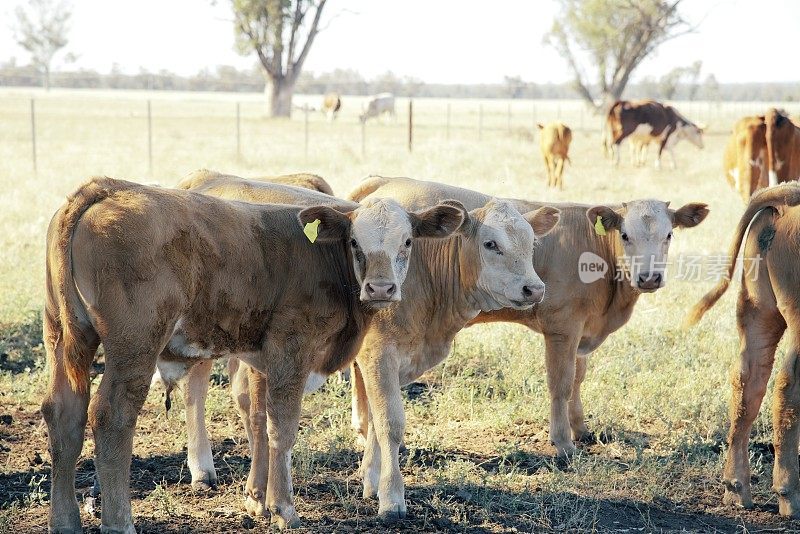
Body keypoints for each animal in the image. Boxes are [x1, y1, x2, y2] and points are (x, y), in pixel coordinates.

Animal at [42, 177, 468, 532]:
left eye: (407, 242)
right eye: (354, 243)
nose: (381, 289)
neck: (324, 259)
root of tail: (107, 189)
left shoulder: (263, 360)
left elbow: (260, 422)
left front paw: (258, 501)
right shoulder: (291, 349)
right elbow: (282, 426)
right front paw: (283, 508)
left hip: (65, 337)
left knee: (64, 412)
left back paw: (65, 522)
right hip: (135, 346)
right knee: (112, 416)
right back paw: (119, 522)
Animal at [348, 179, 708, 516]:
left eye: (669, 235)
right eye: (625, 235)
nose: (649, 277)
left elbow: (579, 376)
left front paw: (581, 428)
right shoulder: (563, 328)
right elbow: (561, 383)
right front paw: (563, 443)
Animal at [684, 183, 800, 520]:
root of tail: (788, 197)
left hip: (757, 312)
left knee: (748, 382)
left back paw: (736, 489)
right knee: (787, 388)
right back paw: (789, 495)